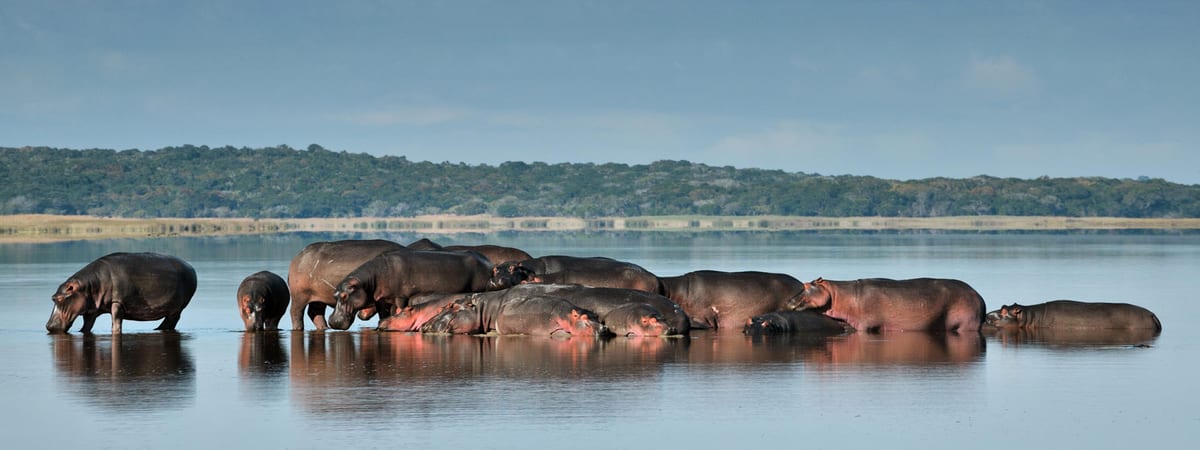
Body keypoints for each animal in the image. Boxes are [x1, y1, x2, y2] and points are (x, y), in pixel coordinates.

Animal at [46, 252, 198, 334]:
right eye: (52, 297)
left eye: (59, 298)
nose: (48, 326)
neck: (88, 286)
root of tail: (191, 267)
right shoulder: (91, 309)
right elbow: (86, 325)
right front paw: (81, 331)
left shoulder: (117, 302)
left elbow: (116, 321)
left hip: (176, 307)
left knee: (172, 320)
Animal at [328, 249, 514, 330]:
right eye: (335, 294)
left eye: (344, 295)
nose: (332, 322)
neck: (369, 281)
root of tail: (489, 263)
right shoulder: (382, 300)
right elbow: (383, 315)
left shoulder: (400, 298)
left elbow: (397, 311)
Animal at [787, 277, 986, 333]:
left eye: (806, 285)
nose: (788, 300)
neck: (838, 294)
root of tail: (979, 295)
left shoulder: (865, 324)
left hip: (967, 323)